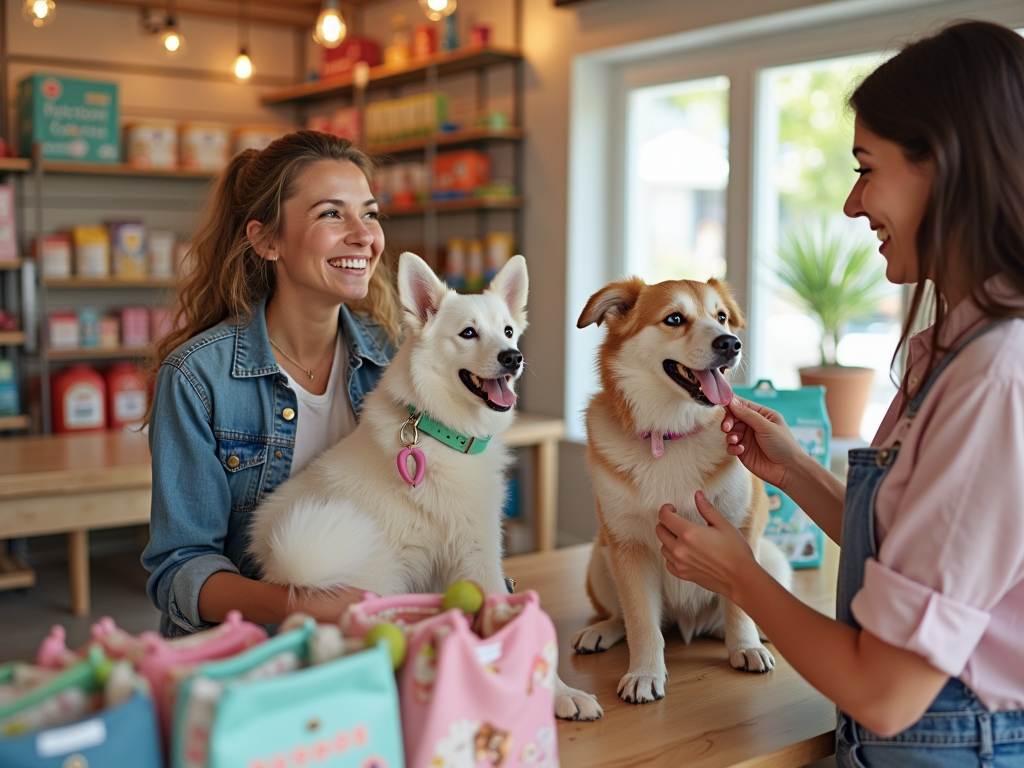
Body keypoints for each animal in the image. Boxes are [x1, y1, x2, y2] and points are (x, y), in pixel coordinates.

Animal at [245, 250, 598, 720]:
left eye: (507, 330)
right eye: (468, 333)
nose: (513, 357)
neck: (443, 432)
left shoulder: (477, 553)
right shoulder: (468, 559)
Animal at [577, 280, 790, 708]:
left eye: (721, 316)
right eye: (674, 319)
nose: (731, 343)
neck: (671, 432)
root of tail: (690, 624)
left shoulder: (741, 530)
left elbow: (738, 605)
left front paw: (745, 647)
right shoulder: (627, 546)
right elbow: (641, 621)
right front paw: (645, 673)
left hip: (773, 559)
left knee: (728, 616)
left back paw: (755, 634)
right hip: (599, 559)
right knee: (622, 616)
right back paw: (603, 630)